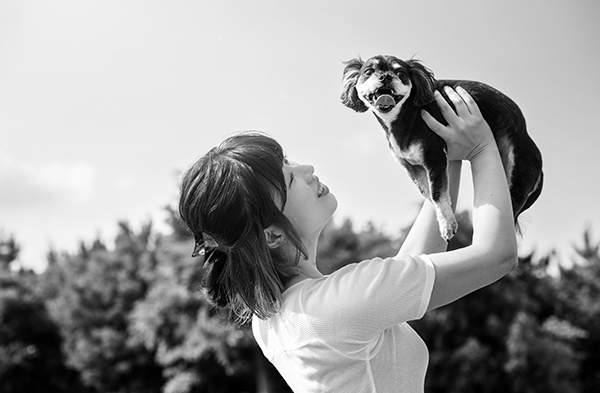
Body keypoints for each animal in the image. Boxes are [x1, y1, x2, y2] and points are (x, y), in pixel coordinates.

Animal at [342, 54, 544, 239]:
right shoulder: (413, 168)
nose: (385, 76)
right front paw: (446, 218)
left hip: (516, 180)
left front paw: (447, 224)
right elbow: (429, 193)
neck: (406, 116)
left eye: (401, 74)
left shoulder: (434, 157)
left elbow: (437, 193)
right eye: (368, 72)